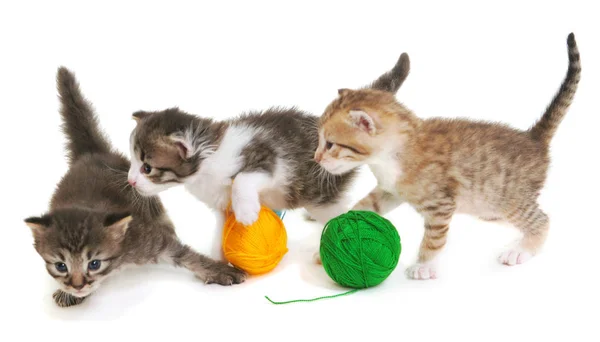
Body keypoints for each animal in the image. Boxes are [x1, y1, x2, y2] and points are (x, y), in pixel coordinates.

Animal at [25, 67, 246, 308]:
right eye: (60, 266)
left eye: (94, 263)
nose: (77, 286)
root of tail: (91, 153)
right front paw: (70, 294)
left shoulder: (144, 239)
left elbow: (185, 255)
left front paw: (218, 270)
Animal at [314, 33, 580, 280]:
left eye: (330, 144)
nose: (316, 158)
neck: (392, 156)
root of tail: (533, 138)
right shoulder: (389, 191)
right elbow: (364, 206)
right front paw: (335, 232)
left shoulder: (441, 205)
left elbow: (433, 239)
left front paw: (424, 265)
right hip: (490, 205)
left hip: (509, 199)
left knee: (542, 219)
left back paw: (522, 249)